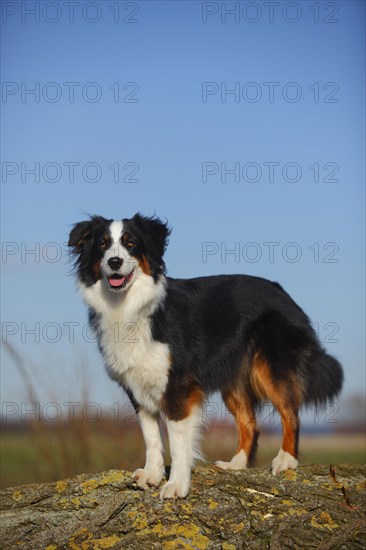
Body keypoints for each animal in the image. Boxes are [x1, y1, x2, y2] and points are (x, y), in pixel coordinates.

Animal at [68, 215, 344, 500]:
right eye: (102, 245)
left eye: (130, 243)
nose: (114, 262)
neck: (130, 306)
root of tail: (282, 291)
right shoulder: (137, 386)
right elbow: (151, 436)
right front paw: (153, 474)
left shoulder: (177, 386)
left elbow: (178, 442)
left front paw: (176, 485)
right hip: (233, 380)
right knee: (250, 422)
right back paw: (236, 464)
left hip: (269, 366)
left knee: (290, 412)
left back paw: (286, 459)